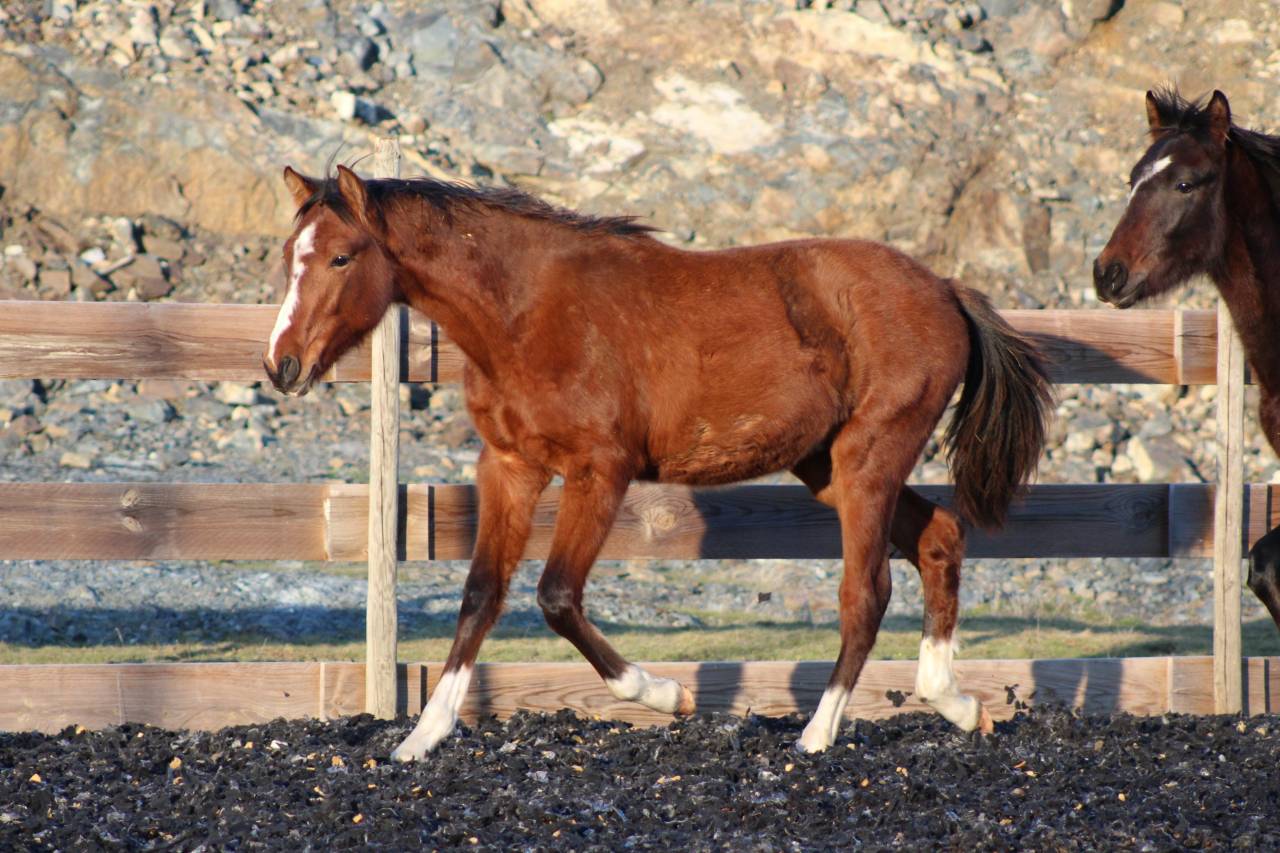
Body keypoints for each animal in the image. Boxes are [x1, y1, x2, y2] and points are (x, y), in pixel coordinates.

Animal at [262, 164, 1052, 760]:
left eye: (340, 257)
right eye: (288, 254)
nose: (281, 364)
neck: (524, 313)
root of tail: (945, 290)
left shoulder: (599, 471)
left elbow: (555, 595)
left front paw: (667, 694)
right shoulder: (511, 467)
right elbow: (481, 594)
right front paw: (421, 738)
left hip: (869, 461)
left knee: (867, 593)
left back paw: (817, 735)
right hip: (829, 468)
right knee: (939, 537)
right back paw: (957, 703)